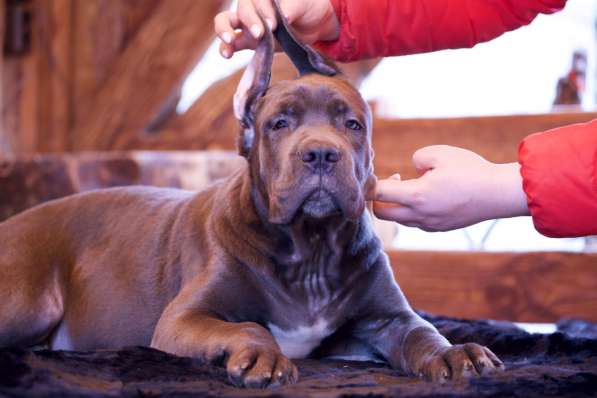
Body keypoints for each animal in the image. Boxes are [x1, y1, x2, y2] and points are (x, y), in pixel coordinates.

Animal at [0, 3, 502, 388]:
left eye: (352, 124)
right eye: (278, 123)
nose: (321, 153)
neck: (311, 248)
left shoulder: (388, 318)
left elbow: (421, 332)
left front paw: (456, 353)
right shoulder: (184, 318)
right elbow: (245, 325)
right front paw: (263, 355)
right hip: (29, 299)